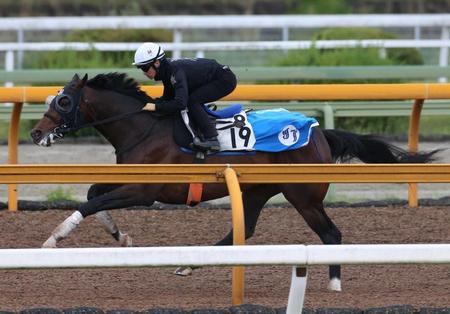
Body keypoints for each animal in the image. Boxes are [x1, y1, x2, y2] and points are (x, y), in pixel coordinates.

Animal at [29, 73, 438, 292]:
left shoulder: (143, 190)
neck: (142, 127)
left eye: (63, 102)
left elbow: (89, 203)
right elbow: (92, 195)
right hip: (257, 191)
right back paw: (190, 265)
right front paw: (120, 235)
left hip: (303, 196)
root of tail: (318, 131)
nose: (35, 133)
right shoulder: (126, 180)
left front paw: (54, 238)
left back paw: (334, 283)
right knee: (248, 228)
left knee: (331, 234)